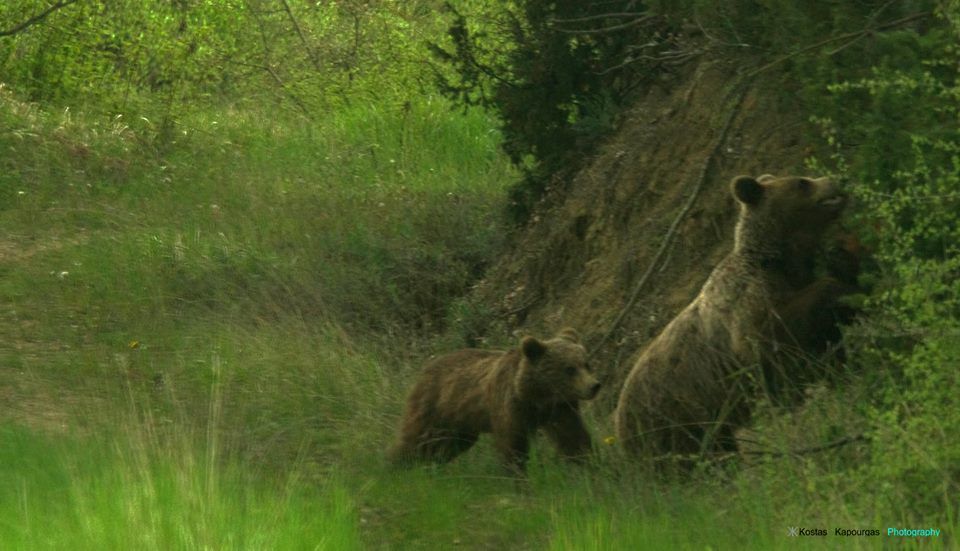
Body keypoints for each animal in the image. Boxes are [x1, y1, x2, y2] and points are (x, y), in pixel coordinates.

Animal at [386, 328, 596, 474]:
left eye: (586, 364)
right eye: (569, 369)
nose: (594, 385)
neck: (536, 396)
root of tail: (426, 367)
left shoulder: (560, 408)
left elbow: (573, 437)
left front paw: (587, 466)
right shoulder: (509, 406)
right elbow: (512, 443)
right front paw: (517, 475)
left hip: (460, 424)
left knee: (448, 444)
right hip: (433, 405)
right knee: (415, 436)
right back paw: (396, 466)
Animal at [616, 174, 856, 466]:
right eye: (801, 182)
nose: (834, 180)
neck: (775, 260)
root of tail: (618, 426)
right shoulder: (746, 304)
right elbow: (767, 339)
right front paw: (836, 288)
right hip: (671, 419)